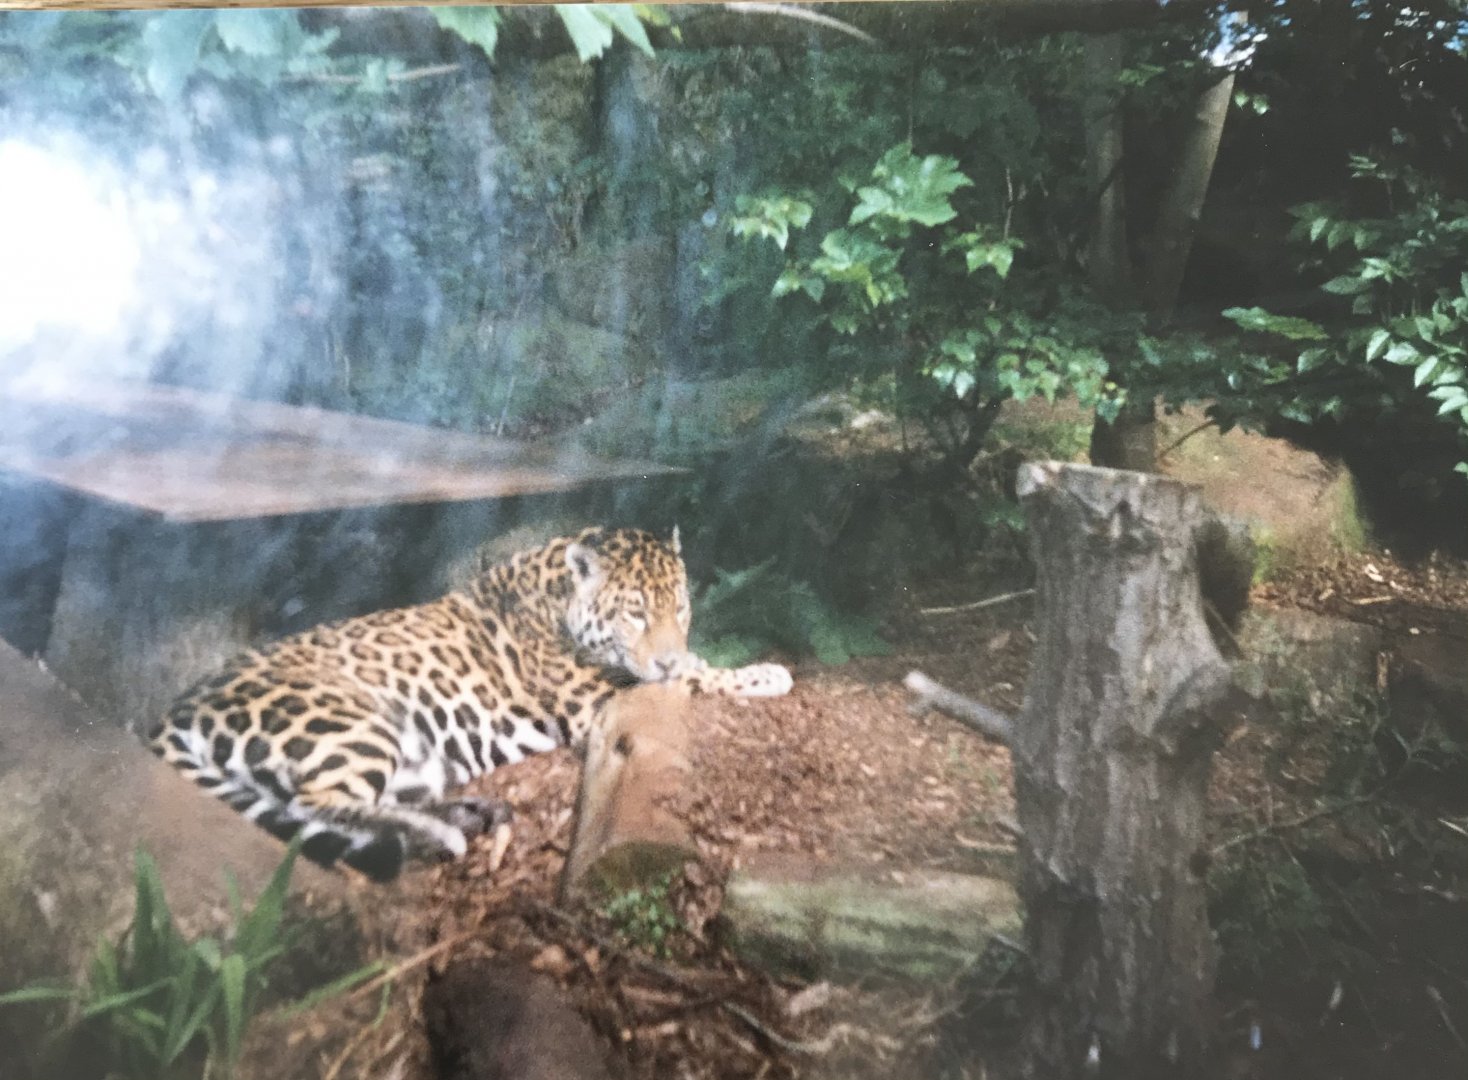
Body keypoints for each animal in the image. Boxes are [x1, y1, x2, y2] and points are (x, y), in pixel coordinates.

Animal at [146, 526, 791, 881]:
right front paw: (763, 673)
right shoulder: (597, 697)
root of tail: (170, 712)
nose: (665, 658)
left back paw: (463, 816)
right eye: (634, 612)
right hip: (348, 722)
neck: (556, 593)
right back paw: (445, 833)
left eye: (678, 606)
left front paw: (730, 664)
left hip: (414, 757)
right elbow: (701, 681)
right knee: (315, 803)